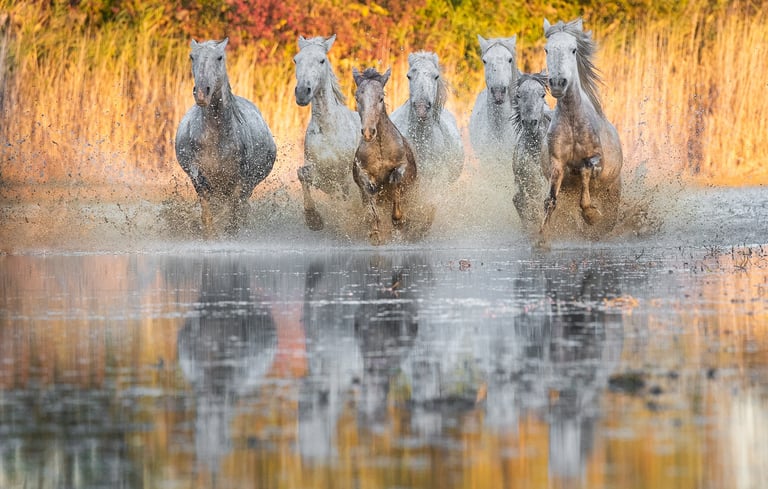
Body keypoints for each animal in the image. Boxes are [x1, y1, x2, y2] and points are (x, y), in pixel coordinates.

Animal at [175, 38, 276, 239]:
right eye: (192, 56)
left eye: (219, 57)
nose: (201, 93)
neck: (215, 139)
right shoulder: (199, 177)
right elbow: (208, 214)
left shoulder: (240, 180)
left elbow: (234, 213)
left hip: (248, 185)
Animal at [293, 34, 361, 231]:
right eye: (296, 60)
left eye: (321, 60)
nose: (302, 92)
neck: (329, 130)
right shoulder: (322, 175)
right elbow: (302, 174)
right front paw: (313, 219)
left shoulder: (347, 178)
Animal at [352, 67, 417, 245]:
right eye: (357, 98)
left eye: (381, 98)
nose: (368, 132)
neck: (381, 148)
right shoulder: (363, 174)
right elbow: (371, 198)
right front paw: (375, 234)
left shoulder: (401, 165)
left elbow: (395, 181)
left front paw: (397, 219)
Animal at [540, 18, 623, 238]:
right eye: (546, 49)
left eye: (573, 49)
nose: (557, 83)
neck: (572, 122)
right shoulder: (557, 163)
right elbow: (550, 200)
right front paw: (541, 237)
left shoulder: (596, 158)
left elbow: (586, 169)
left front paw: (591, 215)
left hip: (612, 190)